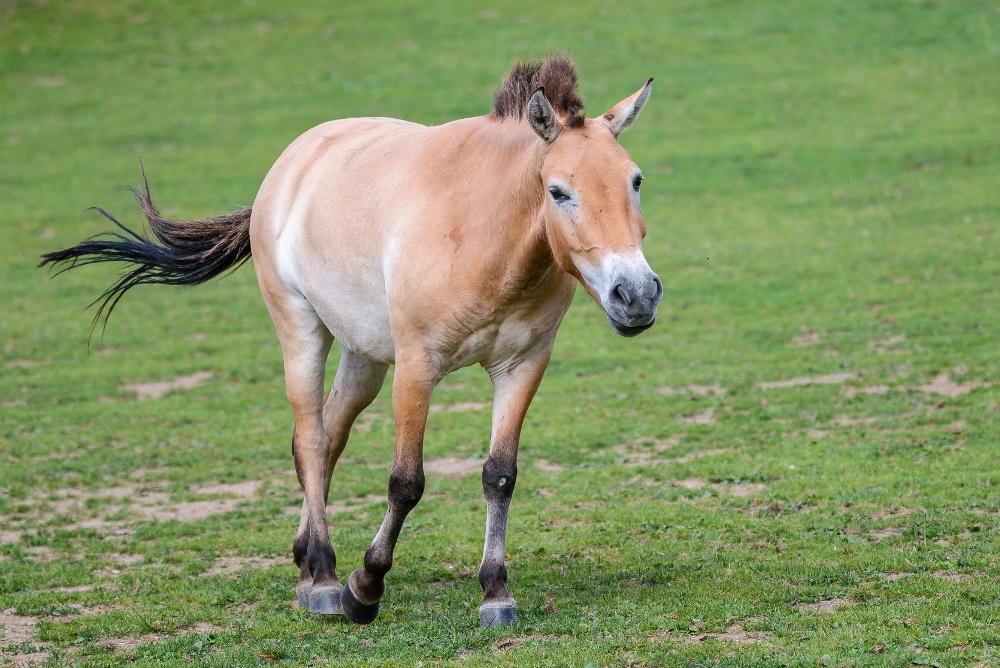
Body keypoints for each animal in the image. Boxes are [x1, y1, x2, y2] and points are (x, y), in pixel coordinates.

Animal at [41, 56, 664, 628]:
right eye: (559, 191)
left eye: (635, 180)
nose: (635, 294)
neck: (484, 232)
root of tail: (290, 165)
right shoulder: (417, 366)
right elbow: (406, 482)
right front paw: (365, 586)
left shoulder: (523, 364)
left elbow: (499, 475)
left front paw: (495, 592)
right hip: (301, 331)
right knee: (310, 439)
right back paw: (322, 578)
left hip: (364, 355)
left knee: (330, 434)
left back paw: (305, 562)